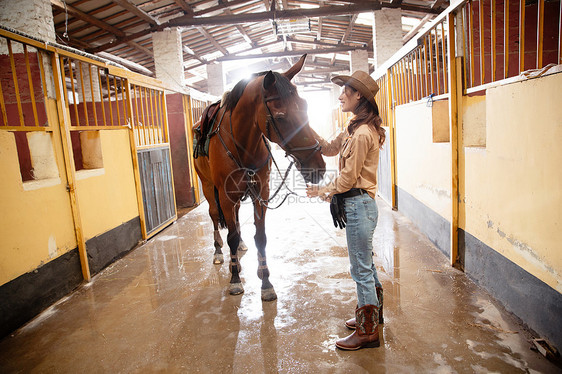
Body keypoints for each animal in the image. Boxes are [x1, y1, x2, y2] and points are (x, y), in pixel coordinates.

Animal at [192, 54, 324, 300]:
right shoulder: (226, 195)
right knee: (215, 217)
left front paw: (265, 281)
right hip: (208, 187)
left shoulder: (260, 192)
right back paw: (219, 253)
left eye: (305, 106)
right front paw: (235, 280)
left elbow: (260, 236)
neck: (243, 144)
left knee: (234, 220)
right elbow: (230, 237)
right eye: (281, 117)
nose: (317, 166)